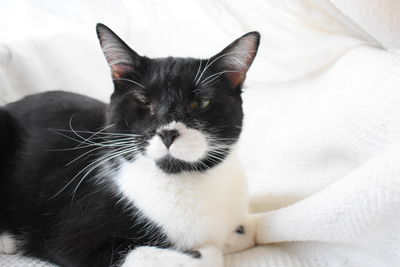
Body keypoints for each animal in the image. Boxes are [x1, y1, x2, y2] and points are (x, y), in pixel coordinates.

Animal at [0, 24, 268, 266]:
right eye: (144, 101)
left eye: (200, 103)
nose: (168, 133)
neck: (183, 179)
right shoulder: (68, 238)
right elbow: (203, 257)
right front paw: (202, 251)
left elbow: (243, 229)